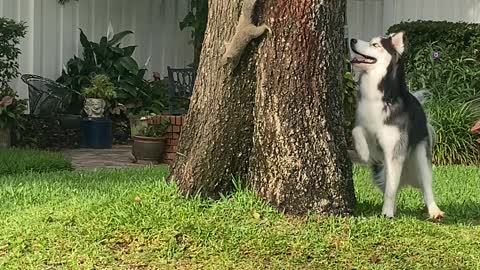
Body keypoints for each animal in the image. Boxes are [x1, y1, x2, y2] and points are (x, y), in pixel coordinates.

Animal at [348, 32, 446, 220]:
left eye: (375, 44)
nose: (352, 40)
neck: (379, 96)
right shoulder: (370, 136)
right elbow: (356, 130)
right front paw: (363, 152)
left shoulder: (395, 149)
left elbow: (391, 189)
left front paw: (387, 213)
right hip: (380, 168)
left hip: (420, 155)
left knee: (426, 185)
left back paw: (434, 210)